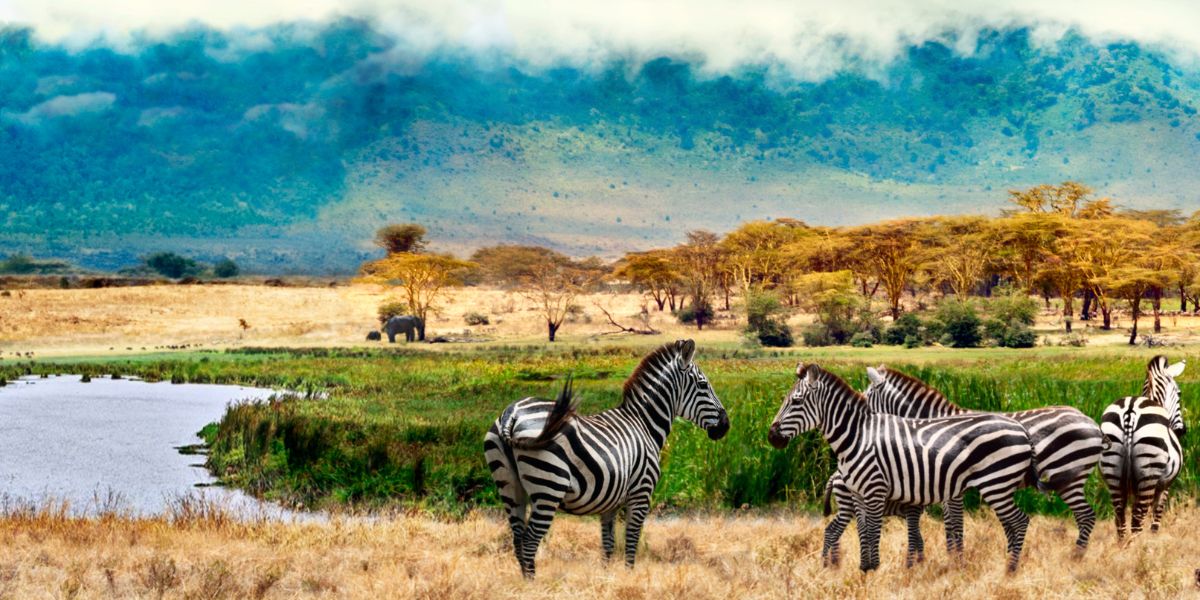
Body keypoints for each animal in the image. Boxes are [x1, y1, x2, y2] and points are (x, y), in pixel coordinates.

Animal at [482, 339, 730, 578]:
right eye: (703, 385)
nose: (726, 426)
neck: (644, 424)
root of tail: (512, 414)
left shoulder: (609, 502)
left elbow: (608, 544)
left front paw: (607, 578)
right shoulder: (641, 493)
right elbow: (631, 541)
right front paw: (629, 577)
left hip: (510, 486)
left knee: (517, 540)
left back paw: (525, 582)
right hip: (548, 487)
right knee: (529, 542)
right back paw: (534, 585)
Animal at [768, 362, 1037, 572]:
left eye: (796, 401)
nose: (772, 437)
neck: (858, 436)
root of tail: (1020, 429)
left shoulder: (878, 491)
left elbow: (877, 531)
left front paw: (875, 570)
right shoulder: (859, 494)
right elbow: (866, 532)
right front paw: (865, 570)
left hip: (996, 484)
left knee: (1020, 521)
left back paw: (1011, 569)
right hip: (999, 486)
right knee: (1013, 523)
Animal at [850, 365, 1104, 556]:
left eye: (866, 396)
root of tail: (1090, 420)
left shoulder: (949, 486)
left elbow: (954, 524)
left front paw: (955, 558)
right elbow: (952, 524)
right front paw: (954, 557)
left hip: (1067, 476)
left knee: (1086, 516)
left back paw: (1076, 556)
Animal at [1100, 355, 1186, 539]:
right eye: (1179, 393)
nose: (1182, 430)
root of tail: (1130, 410)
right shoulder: (1165, 485)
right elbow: (1156, 517)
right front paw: (1152, 539)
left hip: (1112, 469)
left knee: (1120, 514)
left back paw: (1124, 545)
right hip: (1149, 471)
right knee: (1138, 516)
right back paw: (1137, 546)